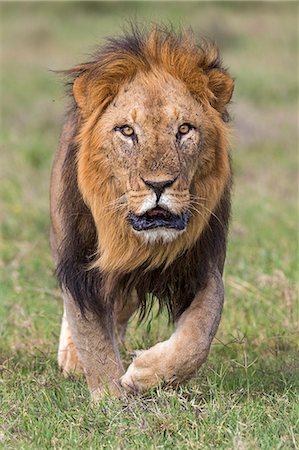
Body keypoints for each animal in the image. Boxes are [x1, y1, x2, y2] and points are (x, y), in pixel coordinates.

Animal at [51, 26, 234, 400]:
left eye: (183, 130)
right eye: (127, 131)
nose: (158, 185)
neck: (140, 243)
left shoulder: (204, 267)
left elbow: (199, 335)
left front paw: (145, 374)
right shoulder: (80, 267)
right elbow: (92, 337)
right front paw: (111, 398)